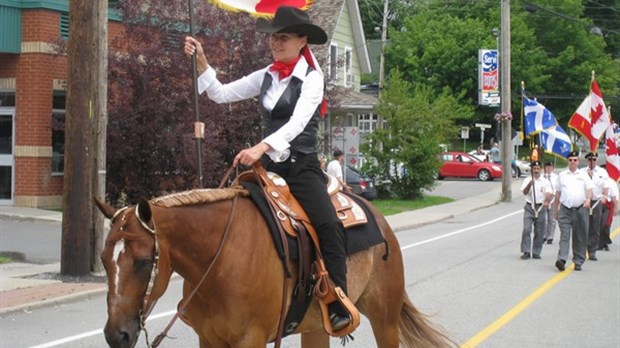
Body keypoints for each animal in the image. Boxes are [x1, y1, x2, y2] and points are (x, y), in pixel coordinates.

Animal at [98, 188, 456, 348]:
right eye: (103, 260)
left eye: (144, 262)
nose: (116, 335)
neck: (218, 263)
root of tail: (378, 216)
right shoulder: (209, 339)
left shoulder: (251, 340)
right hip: (316, 329)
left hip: (385, 319)